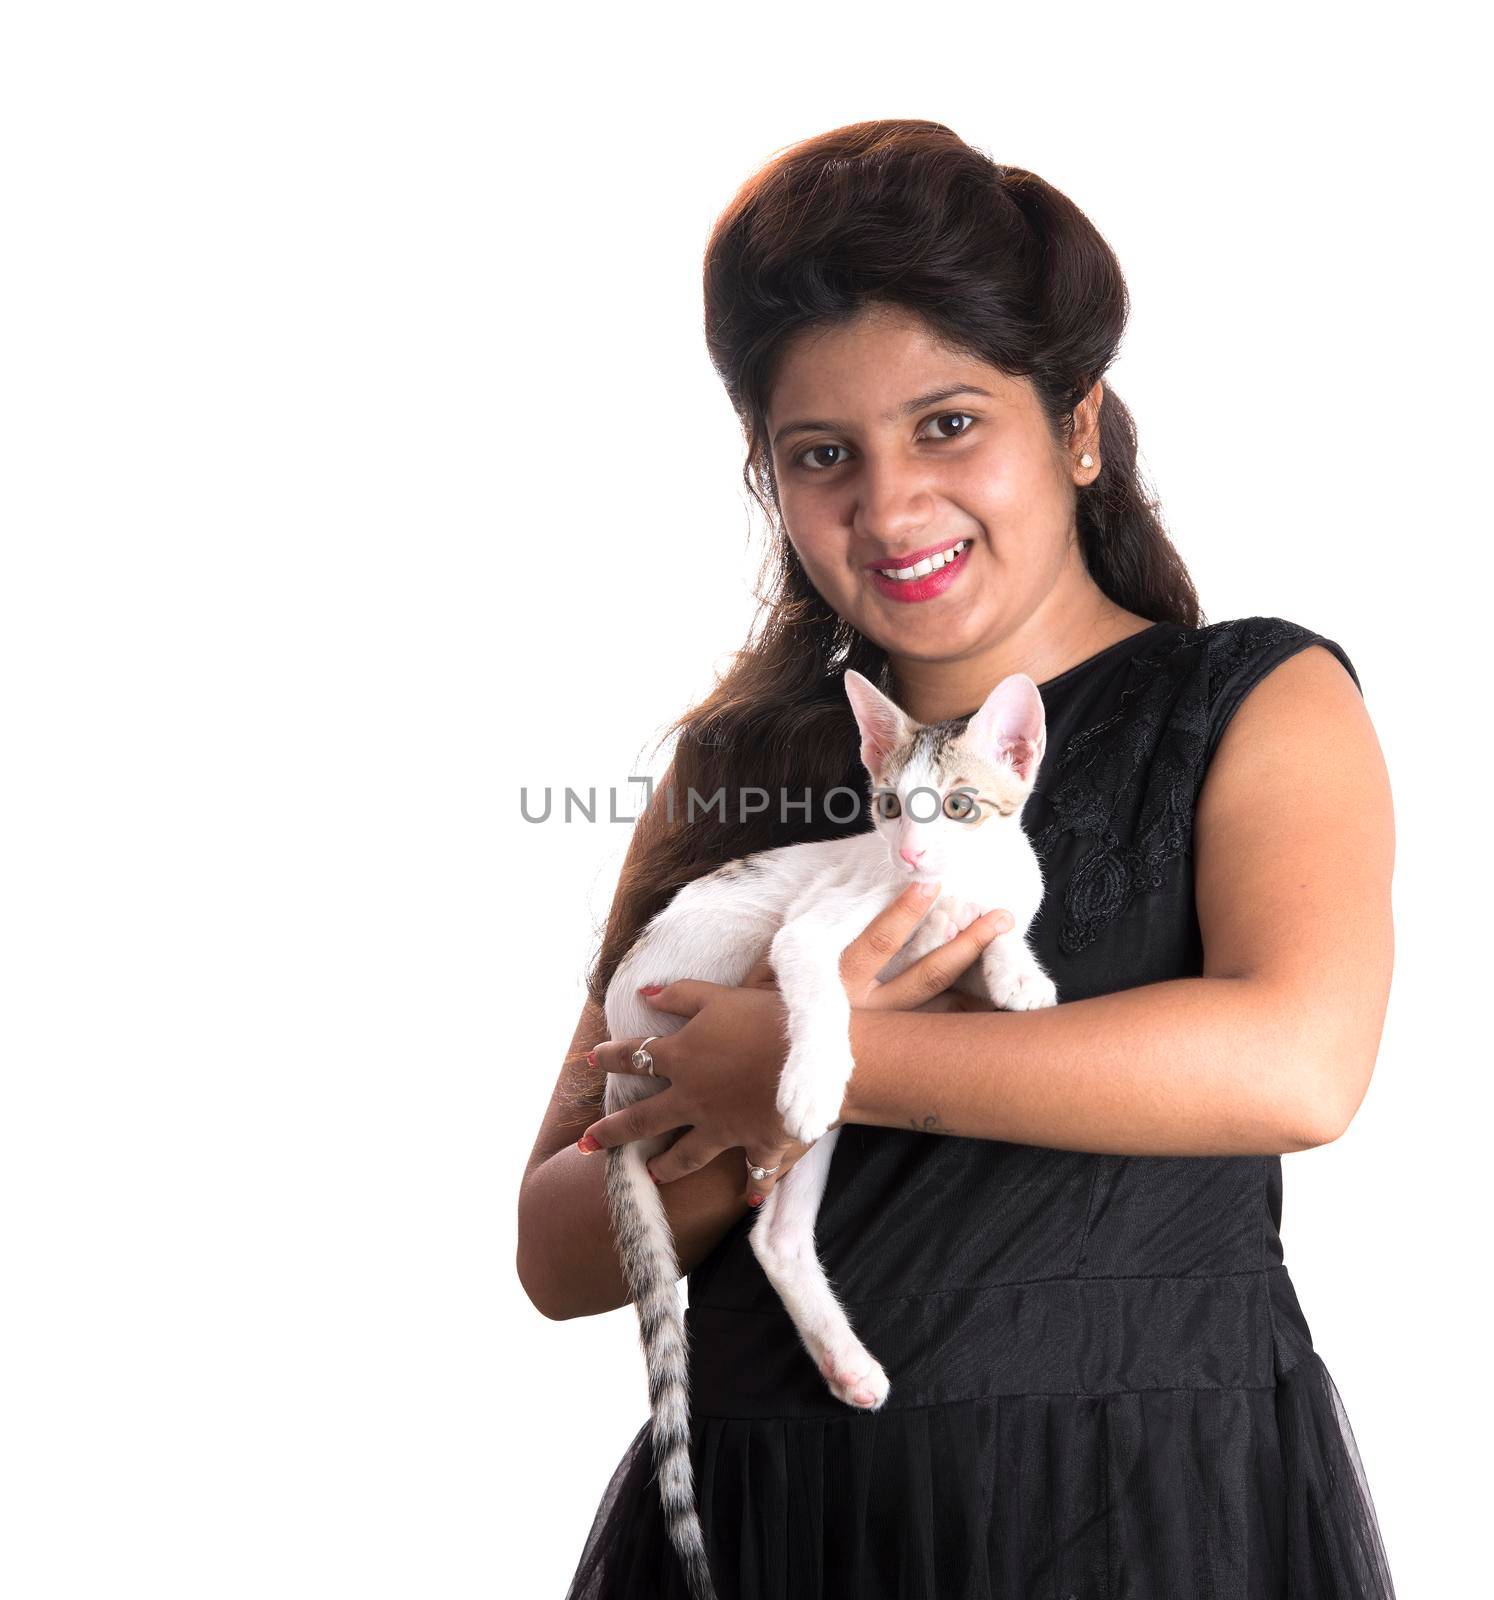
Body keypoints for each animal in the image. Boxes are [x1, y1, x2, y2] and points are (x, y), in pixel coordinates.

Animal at [601, 665, 1055, 1600]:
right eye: (886, 805)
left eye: (958, 806)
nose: (911, 856)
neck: (940, 893)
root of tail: (615, 1075)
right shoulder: (815, 929)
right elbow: (819, 986)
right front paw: (811, 1069)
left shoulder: (994, 903)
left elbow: (1000, 928)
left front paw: (1017, 971)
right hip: (720, 951)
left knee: (774, 1237)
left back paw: (845, 1361)